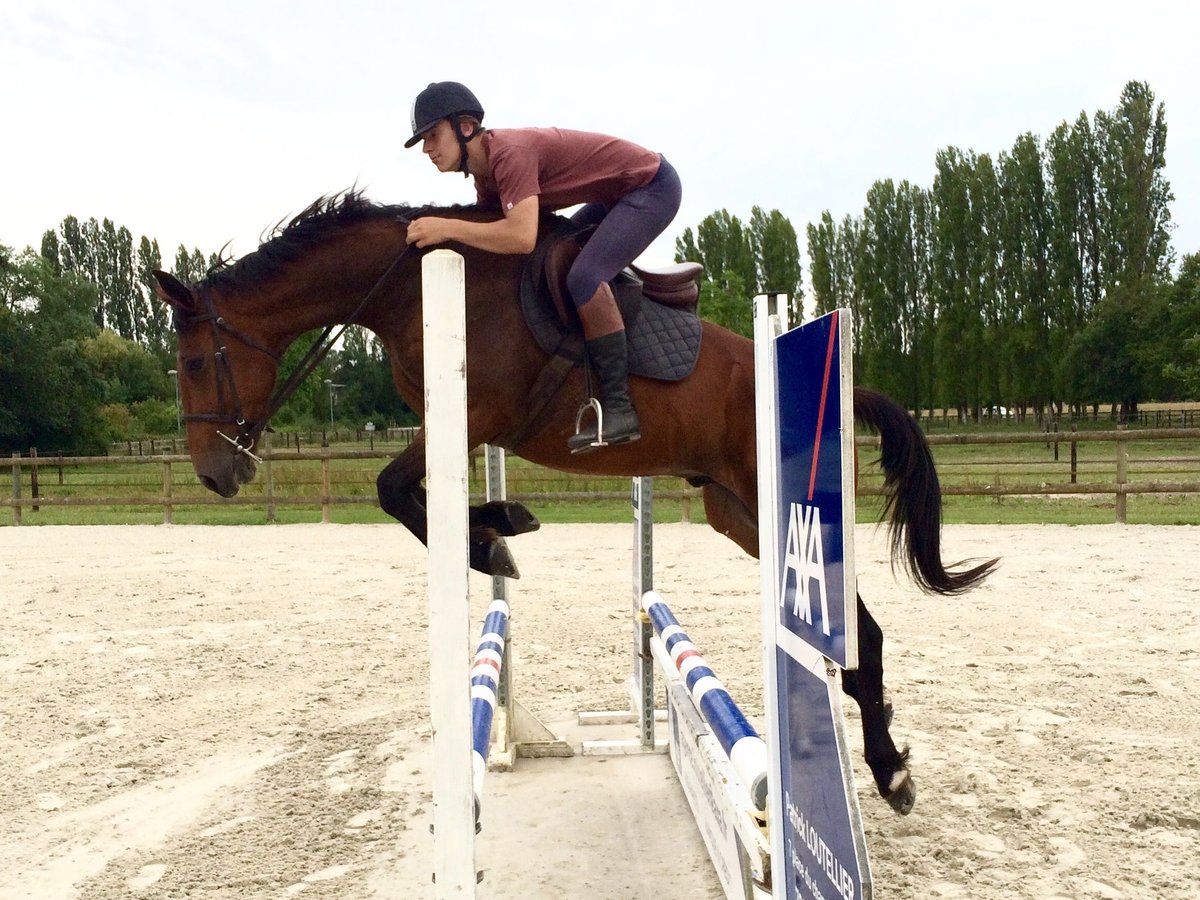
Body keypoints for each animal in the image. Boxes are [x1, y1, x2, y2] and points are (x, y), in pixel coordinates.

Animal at [150, 190, 993, 816]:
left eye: (193, 363)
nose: (214, 476)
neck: (404, 282)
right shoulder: (463, 428)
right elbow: (411, 496)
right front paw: (500, 526)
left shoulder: (476, 414)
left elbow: (393, 489)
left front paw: (492, 539)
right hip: (737, 513)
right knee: (854, 633)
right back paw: (869, 762)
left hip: (777, 507)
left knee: (859, 633)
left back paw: (888, 774)